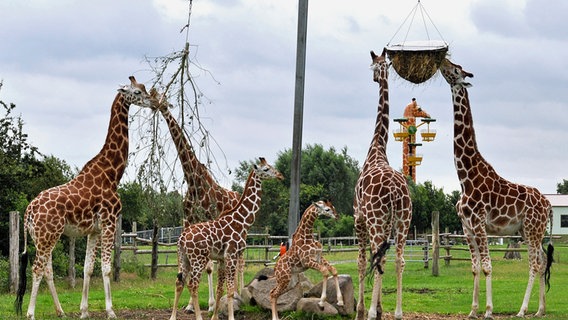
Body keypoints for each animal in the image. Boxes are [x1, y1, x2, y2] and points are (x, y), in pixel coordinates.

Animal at [15, 76, 158, 318]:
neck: (112, 174)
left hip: (41, 237)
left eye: (144, 88)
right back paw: (31, 313)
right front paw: (110, 311)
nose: (155, 103)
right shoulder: (109, 223)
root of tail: (28, 213)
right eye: (138, 92)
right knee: (37, 268)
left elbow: (88, 268)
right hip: (48, 235)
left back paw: (61, 311)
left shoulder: (94, 230)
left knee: (46, 269)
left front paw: (84, 311)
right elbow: (106, 269)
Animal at [169, 157, 284, 320]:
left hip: (184, 257)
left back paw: (173, 316)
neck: (242, 221)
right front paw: (230, 316)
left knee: (180, 282)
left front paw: (216, 315)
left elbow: (221, 289)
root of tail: (182, 239)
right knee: (193, 284)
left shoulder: (223, 258)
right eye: (266, 169)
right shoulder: (231, 254)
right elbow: (229, 290)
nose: (280, 175)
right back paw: (198, 316)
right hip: (198, 259)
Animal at [440, 58, 556, 318]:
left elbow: (487, 267)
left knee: (534, 263)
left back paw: (523, 310)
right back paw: (540, 310)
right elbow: (474, 267)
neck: (465, 177)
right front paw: (473, 310)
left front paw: (488, 310)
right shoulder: (467, 228)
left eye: (456, 69)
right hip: (527, 231)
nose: (443, 61)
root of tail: (550, 206)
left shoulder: (480, 224)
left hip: (533, 229)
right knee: (543, 261)